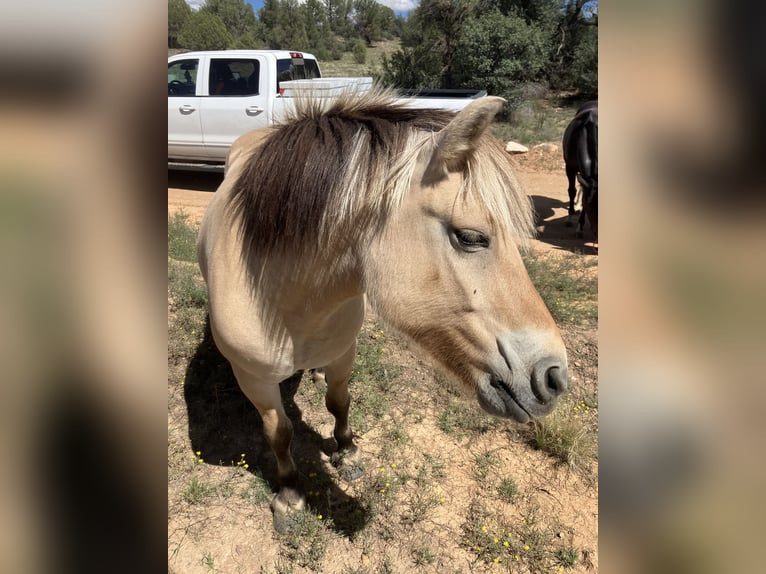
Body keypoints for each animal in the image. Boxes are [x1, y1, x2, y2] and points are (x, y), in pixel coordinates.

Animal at [197, 88, 569, 530]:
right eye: (470, 237)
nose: (555, 377)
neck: (284, 301)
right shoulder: (255, 381)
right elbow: (279, 433)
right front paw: (289, 494)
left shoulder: (344, 352)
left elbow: (339, 402)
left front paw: (347, 451)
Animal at [563, 100, 598, 238]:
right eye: (590, 206)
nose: (597, 234)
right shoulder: (570, 168)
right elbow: (571, 191)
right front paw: (570, 218)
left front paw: (580, 226)